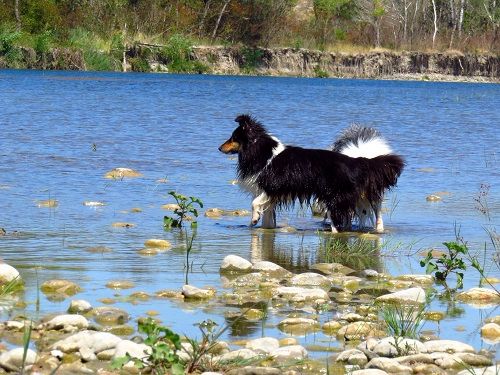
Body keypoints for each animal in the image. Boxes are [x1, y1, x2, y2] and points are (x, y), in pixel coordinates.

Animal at [219, 114, 402, 232]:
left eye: (233, 137)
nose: (219, 148)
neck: (262, 151)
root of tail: (355, 161)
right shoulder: (271, 194)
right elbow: (268, 217)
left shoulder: (273, 186)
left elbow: (255, 203)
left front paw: (254, 219)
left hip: (335, 198)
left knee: (340, 221)